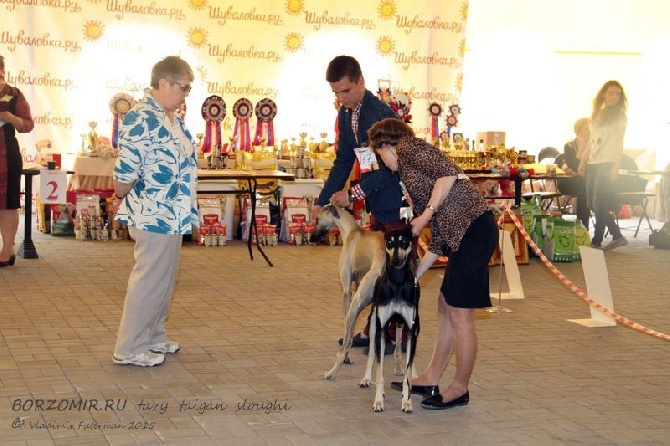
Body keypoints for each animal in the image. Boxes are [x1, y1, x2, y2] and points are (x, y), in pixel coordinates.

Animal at [308, 204, 384, 378]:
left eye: (317, 219)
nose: (310, 239)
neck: (351, 231)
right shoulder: (356, 286)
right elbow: (353, 329)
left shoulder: (347, 292)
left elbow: (348, 332)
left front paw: (346, 356)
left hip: (357, 303)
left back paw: (332, 372)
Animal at [362, 225, 420, 412]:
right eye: (389, 242)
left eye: (404, 242)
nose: (395, 260)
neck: (397, 283)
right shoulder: (381, 328)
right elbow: (379, 369)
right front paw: (378, 401)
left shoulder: (411, 328)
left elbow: (408, 368)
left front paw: (407, 401)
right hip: (374, 325)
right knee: (372, 352)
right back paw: (366, 378)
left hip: (411, 326)